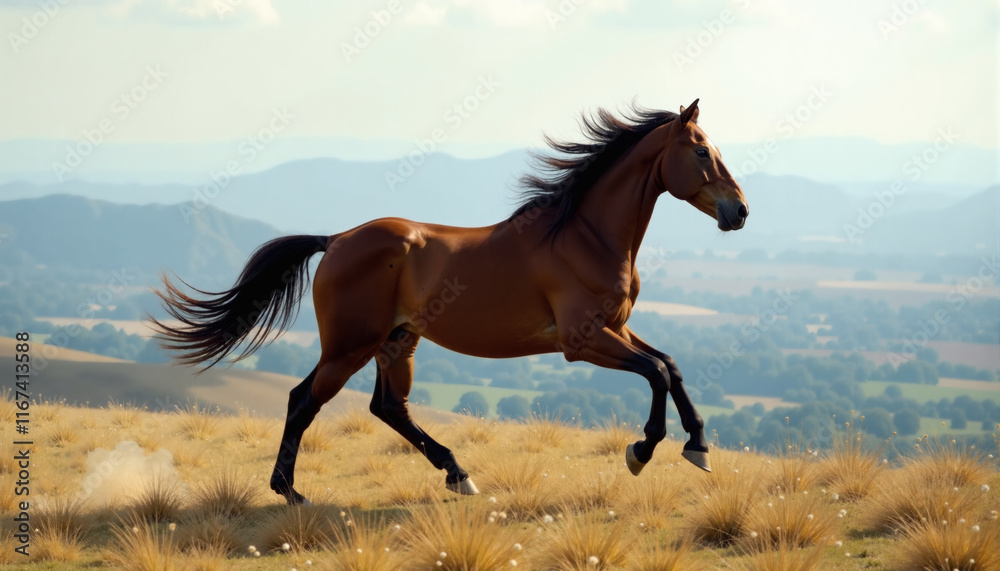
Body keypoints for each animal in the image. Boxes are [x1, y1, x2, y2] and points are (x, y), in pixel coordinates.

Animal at [150, 99, 748, 505]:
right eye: (702, 150)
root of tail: (336, 239)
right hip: (349, 346)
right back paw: (292, 493)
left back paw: (458, 474)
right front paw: (642, 452)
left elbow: (670, 365)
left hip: (398, 341)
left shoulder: (617, 329)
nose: (739, 211)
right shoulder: (583, 341)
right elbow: (657, 373)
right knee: (304, 400)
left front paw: (697, 446)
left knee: (388, 407)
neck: (584, 236)